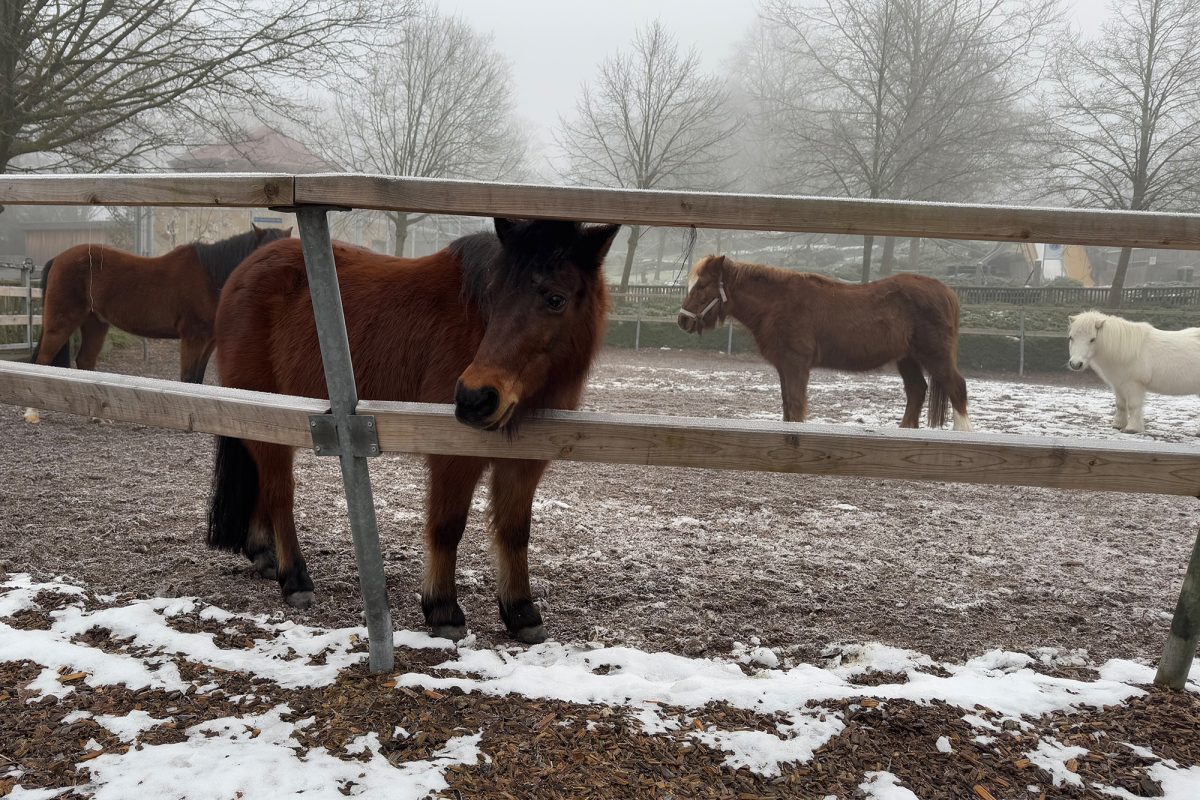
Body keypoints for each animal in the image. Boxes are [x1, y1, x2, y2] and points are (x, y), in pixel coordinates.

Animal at [29, 224, 291, 383]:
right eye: (263, 253)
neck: (212, 276)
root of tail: (59, 258)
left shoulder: (209, 342)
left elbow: (198, 379)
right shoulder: (193, 338)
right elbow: (188, 378)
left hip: (95, 323)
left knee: (85, 361)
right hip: (60, 323)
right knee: (43, 360)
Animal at [207, 217, 619, 642]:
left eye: (556, 299)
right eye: (494, 295)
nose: (475, 398)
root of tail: (245, 271)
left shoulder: (524, 462)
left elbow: (514, 532)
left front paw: (521, 612)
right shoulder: (453, 457)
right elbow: (447, 527)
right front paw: (443, 609)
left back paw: (264, 555)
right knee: (279, 495)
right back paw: (295, 579)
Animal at [676, 256, 974, 431]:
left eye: (702, 286)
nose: (682, 320)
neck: (779, 303)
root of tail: (947, 291)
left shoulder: (796, 364)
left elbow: (796, 405)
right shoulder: (784, 366)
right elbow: (787, 405)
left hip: (935, 355)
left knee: (957, 388)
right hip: (907, 358)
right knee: (916, 391)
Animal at [1070, 309, 1200, 431]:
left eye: (1092, 339)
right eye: (1071, 338)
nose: (1076, 364)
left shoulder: (1134, 384)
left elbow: (1133, 405)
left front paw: (1132, 428)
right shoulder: (1118, 385)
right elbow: (1120, 405)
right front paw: (1118, 425)